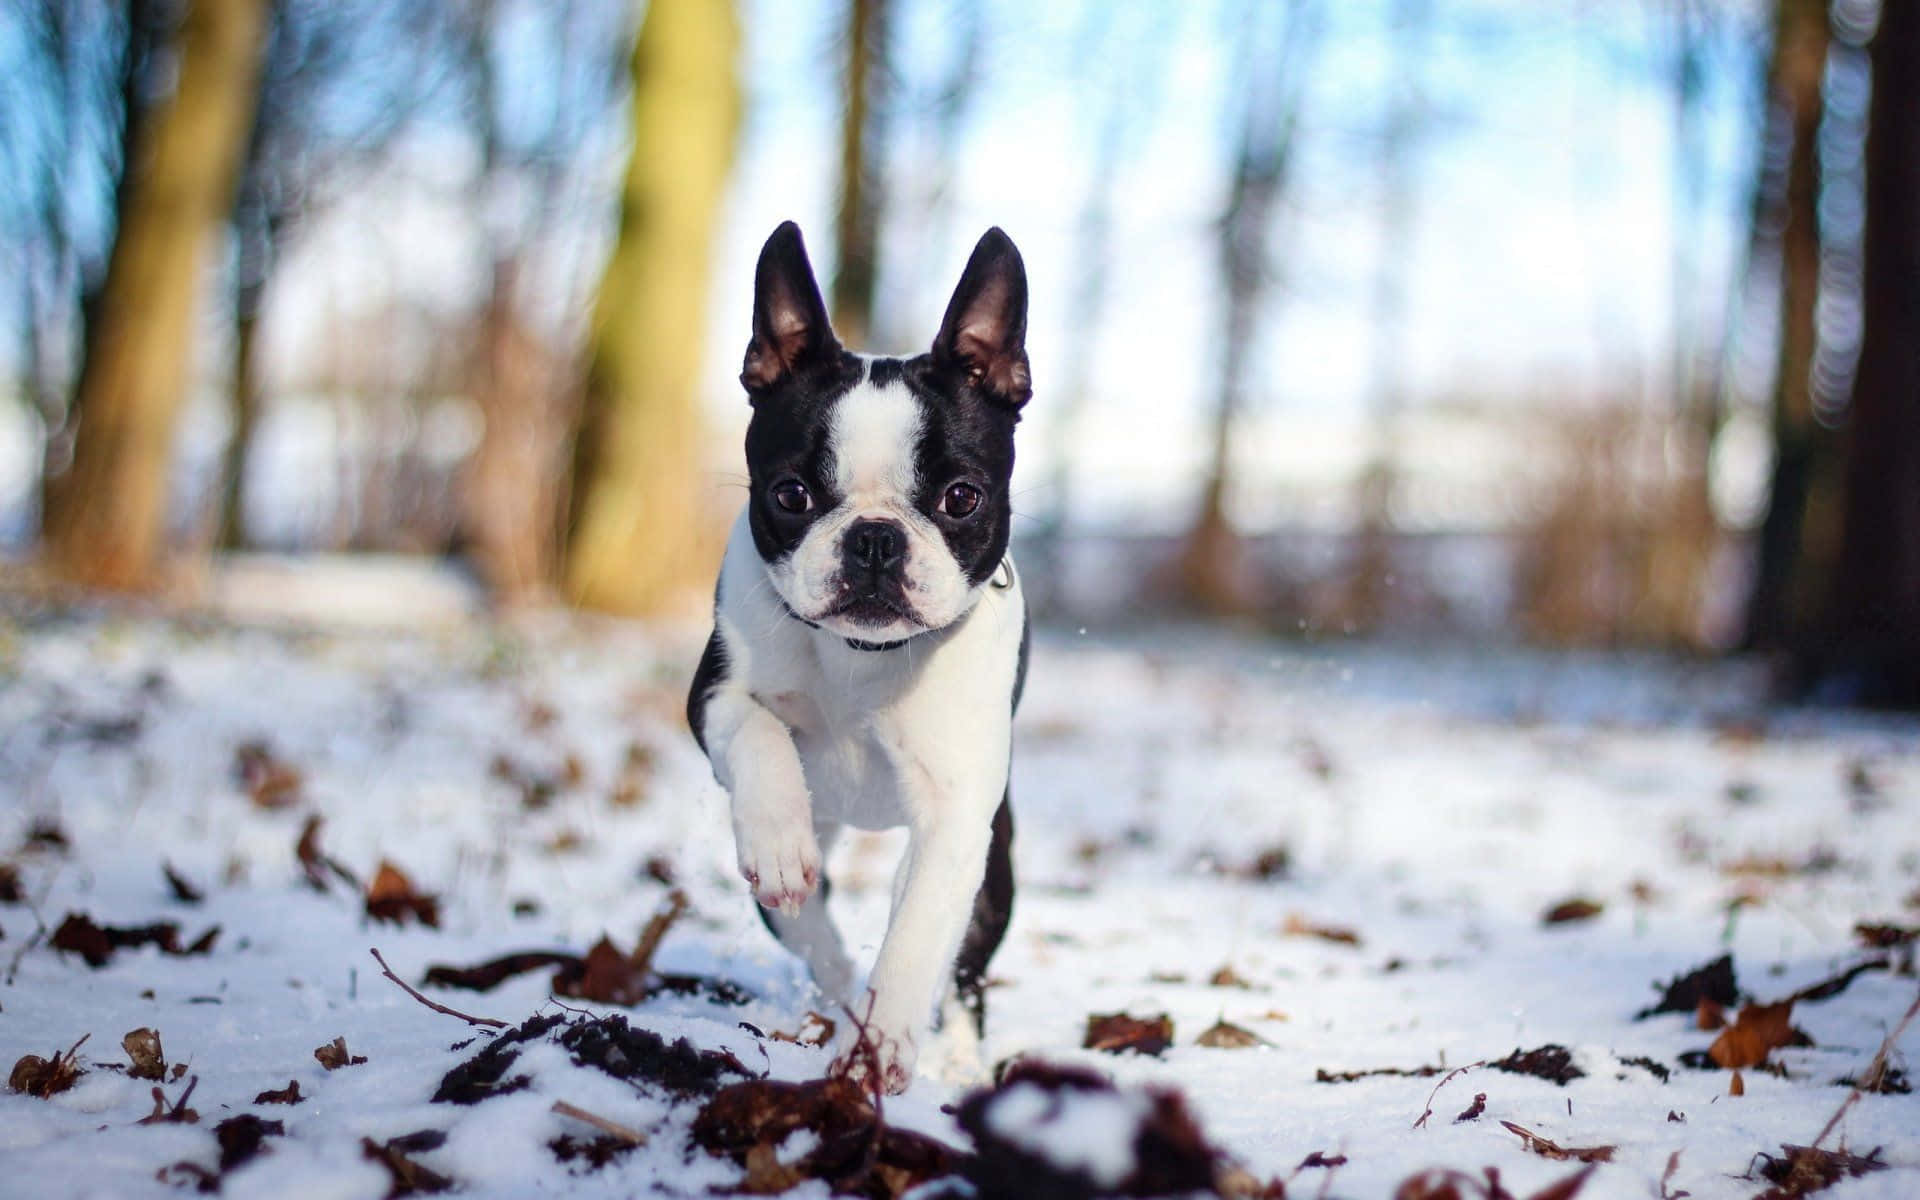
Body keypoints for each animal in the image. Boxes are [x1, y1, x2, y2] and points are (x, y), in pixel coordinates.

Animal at [683, 219, 1029, 1090]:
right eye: (791, 495)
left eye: (961, 498)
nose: (874, 539)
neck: (862, 657)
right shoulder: (713, 696)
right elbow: (756, 732)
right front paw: (777, 840)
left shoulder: (955, 816)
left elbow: (915, 939)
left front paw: (881, 1049)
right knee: (810, 928)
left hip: (994, 864)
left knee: (964, 968)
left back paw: (958, 1061)